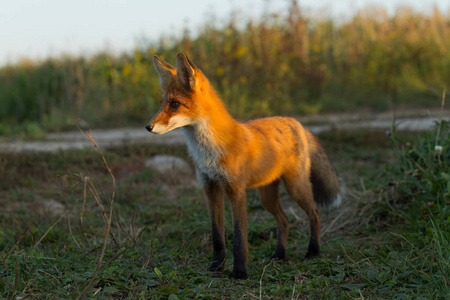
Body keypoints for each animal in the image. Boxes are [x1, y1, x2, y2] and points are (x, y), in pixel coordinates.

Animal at [146, 53, 342, 278]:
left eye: (175, 104)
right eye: (162, 103)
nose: (148, 127)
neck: (207, 152)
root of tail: (295, 122)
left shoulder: (236, 190)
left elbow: (239, 238)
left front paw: (239, 272)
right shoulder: (210, 189)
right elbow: (217, 237)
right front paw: (216, 267)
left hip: (296, 187)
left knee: (315, 214)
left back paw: (313, 251)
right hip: (266, 196)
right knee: (284, 221)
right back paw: (279, 254)